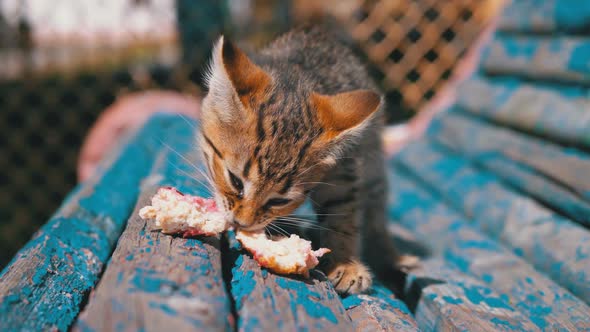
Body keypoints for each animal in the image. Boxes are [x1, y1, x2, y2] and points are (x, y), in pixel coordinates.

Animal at [200, 27, 402, 294]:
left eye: (279, 200)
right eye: (235, 181)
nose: (241, 223)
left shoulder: (343, 171)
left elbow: (343, 213)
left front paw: (345, 263)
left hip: (373, 162)